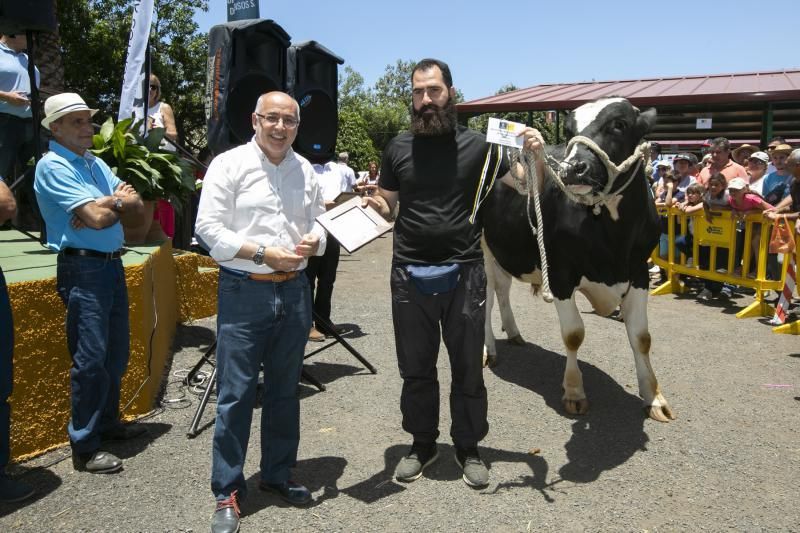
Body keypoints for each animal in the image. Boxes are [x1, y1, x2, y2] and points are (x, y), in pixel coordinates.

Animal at [482, 95, 676, 420]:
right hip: (481, 251)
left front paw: (654, 397)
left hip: (504, 251)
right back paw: (488, 351)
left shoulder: (638, 272)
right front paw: (574, 392)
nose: (572, 168)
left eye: (619, 124)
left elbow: (641, 337)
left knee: (502, 290)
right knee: (484, 298)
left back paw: (514, 332)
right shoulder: (561, 273)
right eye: (570, 130)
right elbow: (573, 334)